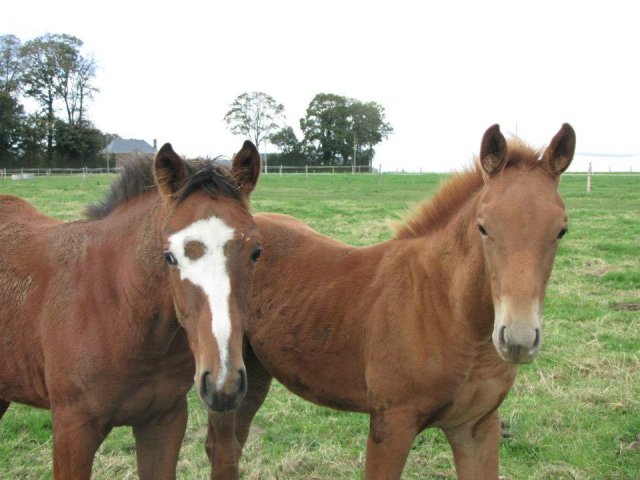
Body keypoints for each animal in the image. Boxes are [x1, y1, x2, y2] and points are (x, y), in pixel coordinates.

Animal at [208, 124, 576, 480]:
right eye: (483, 227)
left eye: (561, 230)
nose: (518, 339)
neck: (449, 312)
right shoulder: (392, 424)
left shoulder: (476, 427)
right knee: (222, 451)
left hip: (255, 371)